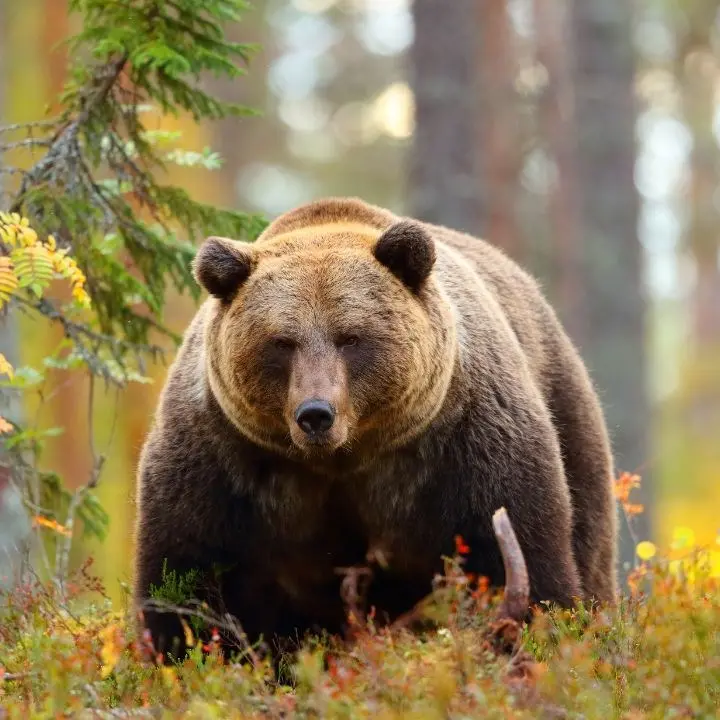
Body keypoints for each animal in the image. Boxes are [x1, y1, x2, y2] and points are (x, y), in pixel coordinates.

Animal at [135, 194, 620, 660]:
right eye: (282, 342)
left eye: (350, 337)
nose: (316, 413)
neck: (343, 459)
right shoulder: (222, 461)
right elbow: (183, 576)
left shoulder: (466, 444)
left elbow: (520, 557)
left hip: (568, 414)